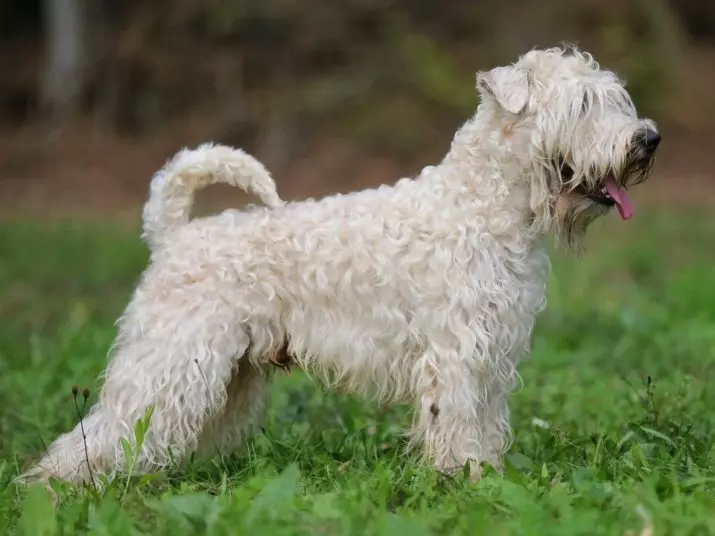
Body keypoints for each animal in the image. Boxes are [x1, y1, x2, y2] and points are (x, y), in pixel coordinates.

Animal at [22, 47, 660, 490]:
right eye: (581, 105)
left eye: (614, 99)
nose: (648, 138)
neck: (485, 207)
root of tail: (173, 234)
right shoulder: (455, 355)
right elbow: (455, 423)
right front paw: (465, 482)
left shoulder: (492, 356)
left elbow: (484, 423)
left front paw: (489, 477)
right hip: (172, 359)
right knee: (105, 427)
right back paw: (54, 486)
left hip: (226, 373)